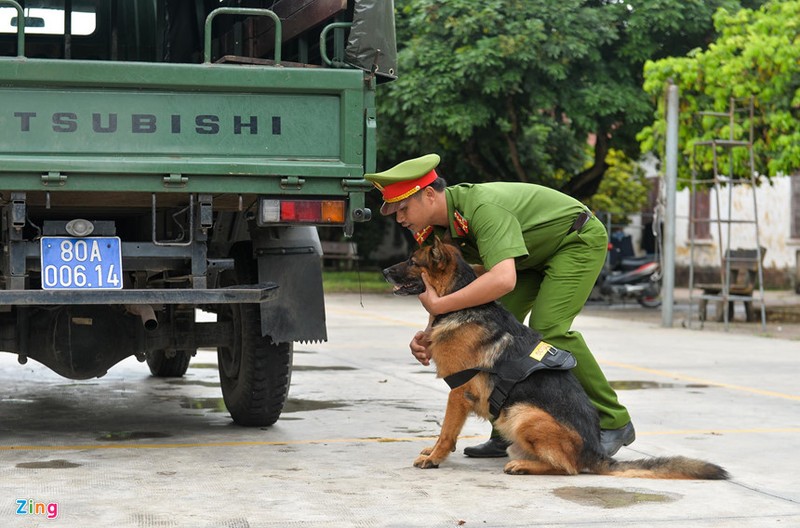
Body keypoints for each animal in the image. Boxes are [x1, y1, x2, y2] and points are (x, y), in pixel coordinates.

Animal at [384, 237, 728, 480]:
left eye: (412, 261)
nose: (384, 271)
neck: (461, 302)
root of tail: (596, 454)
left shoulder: (458, 392)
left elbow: (446, 432)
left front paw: (434, 459)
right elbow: (445, 433)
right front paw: (433, 452)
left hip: (521, 413)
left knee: (568, 468)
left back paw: (524, 466)